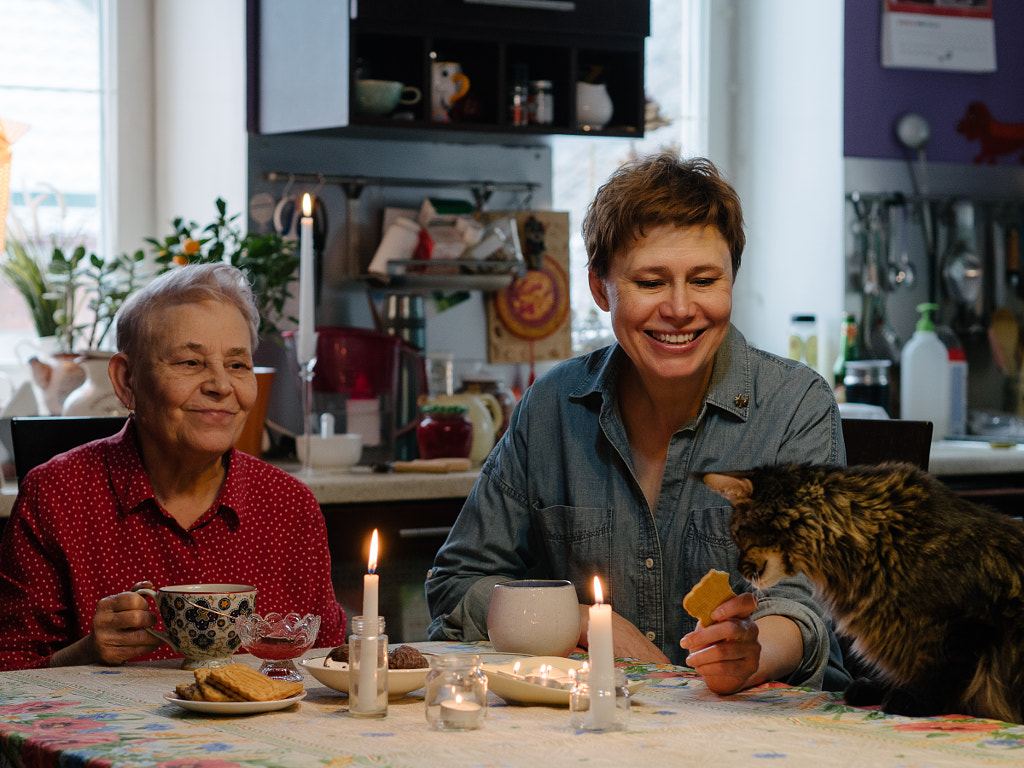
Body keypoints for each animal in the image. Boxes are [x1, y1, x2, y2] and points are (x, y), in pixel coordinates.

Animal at [704, 462, 1024, 729]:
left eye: (738, 535)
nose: (739, 570)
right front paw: (875, 688)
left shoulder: (966, 624)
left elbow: (944, 672)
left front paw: (913, 700)